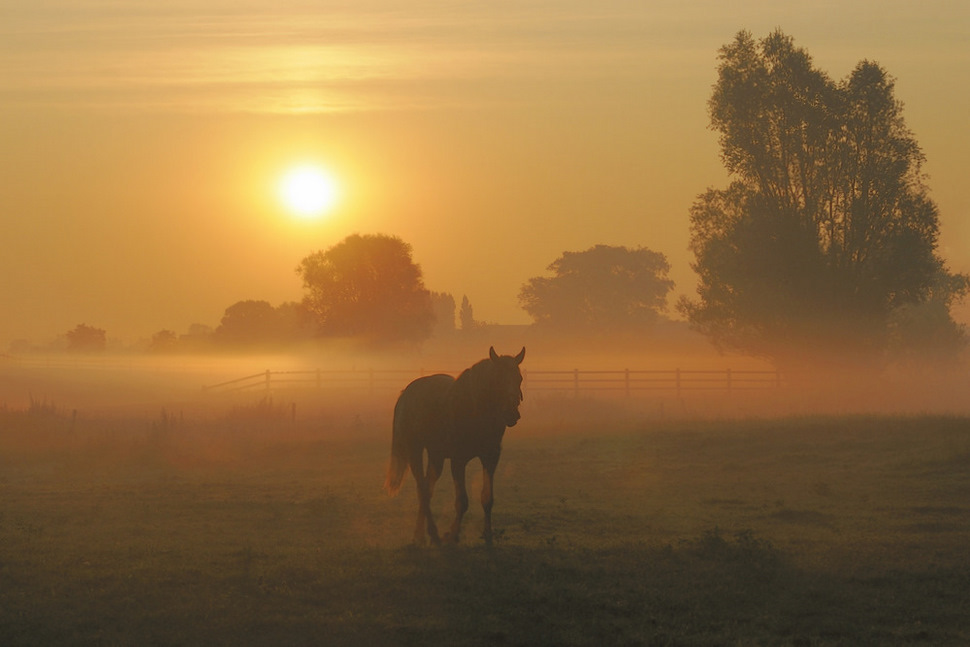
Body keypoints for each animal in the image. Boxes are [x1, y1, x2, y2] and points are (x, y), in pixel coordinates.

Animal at [382, 346, 524, 544]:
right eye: (498, 379)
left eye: (519, 378)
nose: (512, 414)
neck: (474, 410)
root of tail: (406, 393)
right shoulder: (458, 460)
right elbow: (462, 501)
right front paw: (453, 535)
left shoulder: (490, 458)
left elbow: (487, 499)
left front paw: (488, 535)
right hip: (415, 450)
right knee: (423, 489)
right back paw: (431, 533)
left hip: (436, 456)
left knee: (426, 489)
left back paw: (421, 533)